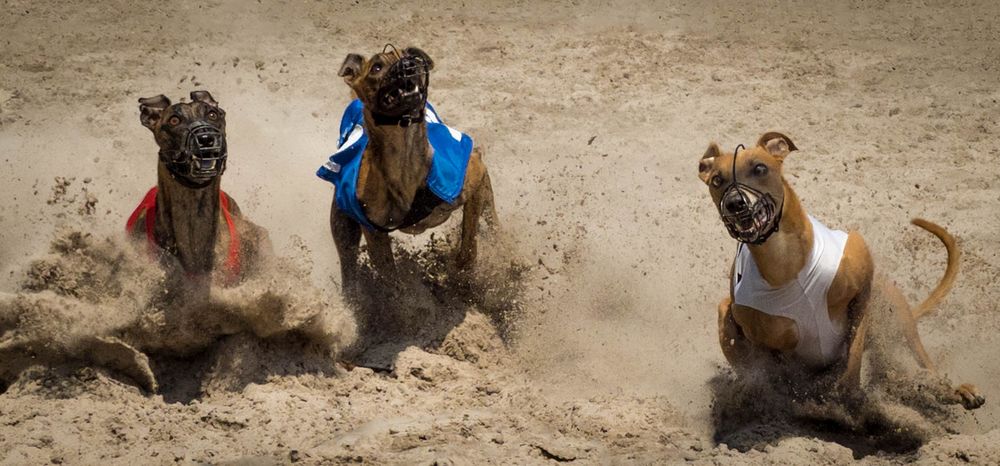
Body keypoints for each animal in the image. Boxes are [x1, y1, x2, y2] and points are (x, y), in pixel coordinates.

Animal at [330, 47, 498, 294]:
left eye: (410, 55)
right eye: (377, 67)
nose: (410, 63)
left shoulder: (475, 172)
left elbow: (468, 246)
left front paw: (459, 276)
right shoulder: (373, 230)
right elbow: (391, 280)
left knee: (493, 224)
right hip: (342, 224)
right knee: (347, 262)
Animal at [700, 130, 980, 408]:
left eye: (760, 168)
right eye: (717, 180)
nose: (735, 203)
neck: (786, 264)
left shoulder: (863, 292)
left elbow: (853, 353)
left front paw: (850, 392)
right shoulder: (759, 337)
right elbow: (772, 369)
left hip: (897, 314)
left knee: (919, 357)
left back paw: (950, 390)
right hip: (726, 311)